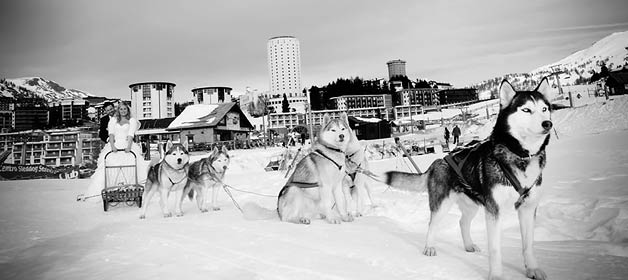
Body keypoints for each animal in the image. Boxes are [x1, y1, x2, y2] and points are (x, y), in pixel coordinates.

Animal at [386, 77, 552, 280]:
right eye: (526, 110)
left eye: (544, 108)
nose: (547, 124)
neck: (520, 155)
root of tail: (438, 161)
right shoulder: (493, 210)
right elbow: (495, 249)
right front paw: (496, 276)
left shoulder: (528, 208)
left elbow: (528, 245)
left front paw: (532, 269)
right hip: (442, 204)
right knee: (432, 224)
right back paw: (429, 247)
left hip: (472, 204)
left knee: (462, 222)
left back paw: (468, 245)